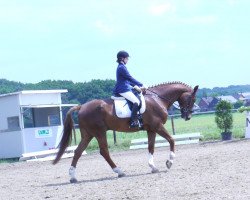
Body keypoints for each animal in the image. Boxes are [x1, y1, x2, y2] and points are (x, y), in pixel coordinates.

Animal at [53, 81, 198, 183]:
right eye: (192, 99)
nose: (188, 116)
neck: (158, 99)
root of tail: (82, 106)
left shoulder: (151, 129)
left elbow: (151, 147)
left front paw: (153, 167)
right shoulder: (157, 126)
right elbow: (172, 140)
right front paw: (169, 162)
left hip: (88, 134)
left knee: (78, 151)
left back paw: (73, 177)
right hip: (99, 132)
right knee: (104, 151)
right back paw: (119, 171)